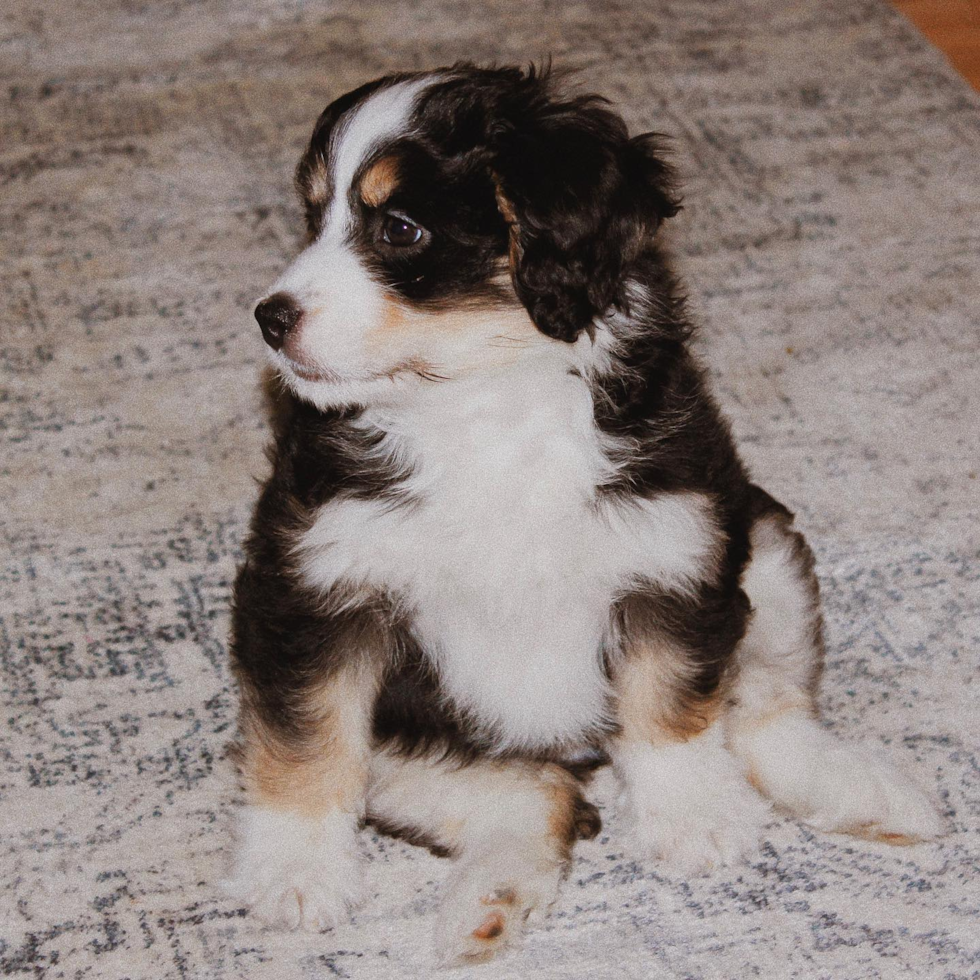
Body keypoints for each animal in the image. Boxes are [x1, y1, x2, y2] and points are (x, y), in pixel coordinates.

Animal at [224, 63, 940, 964]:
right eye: (313, 217)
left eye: (400, 228)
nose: (269, 319)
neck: (487, 405)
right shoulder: (309, 588)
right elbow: (305, 743)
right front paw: (296, 876)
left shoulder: (674, 550)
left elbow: (671, 703)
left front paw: (694, 820)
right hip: (409, 729)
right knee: (538, 791)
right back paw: (489, 902)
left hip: (763, 539)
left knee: (765, 710)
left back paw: (863, 791)